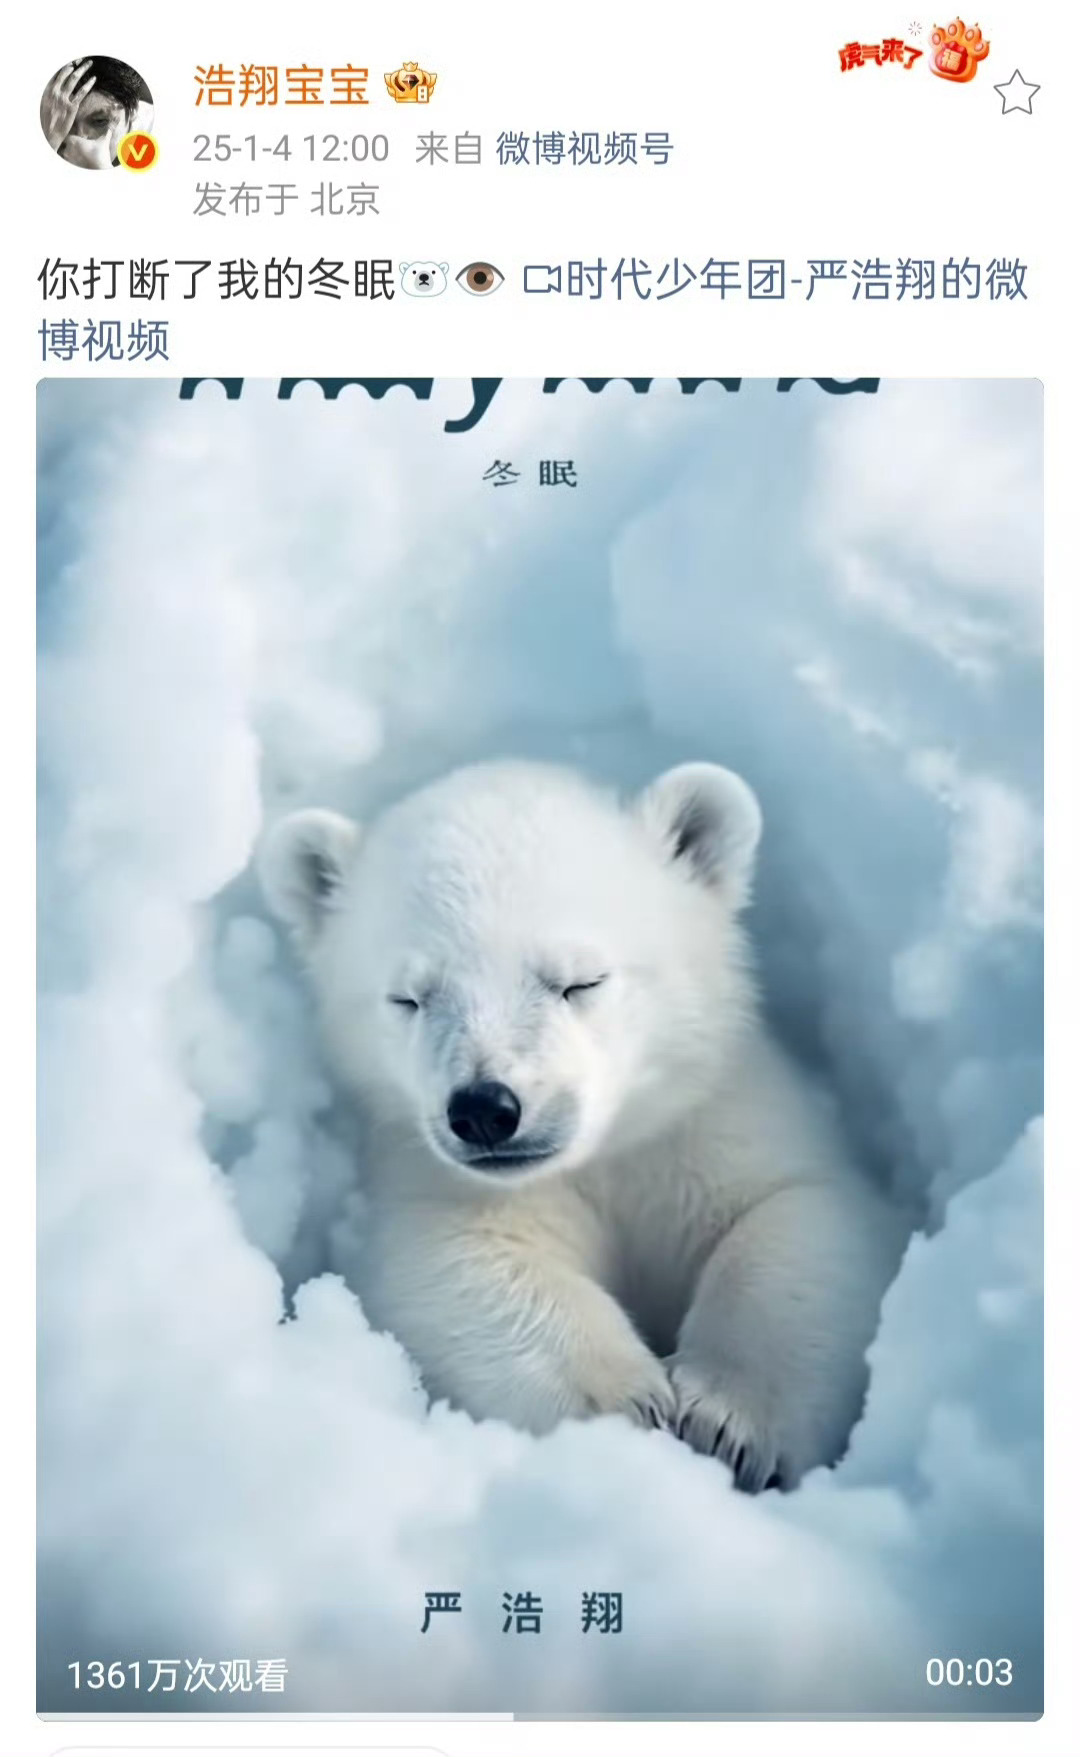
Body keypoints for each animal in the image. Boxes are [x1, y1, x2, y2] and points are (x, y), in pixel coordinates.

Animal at [259, 760, 909, 1491]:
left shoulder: (715, 1125)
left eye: (581, 981)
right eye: (409, 997)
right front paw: (628, 1407)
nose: (485, 1108)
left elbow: (804, 1218)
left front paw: (730, 1423)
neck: (608, 1153)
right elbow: (456, 1264)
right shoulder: (438, 1183)